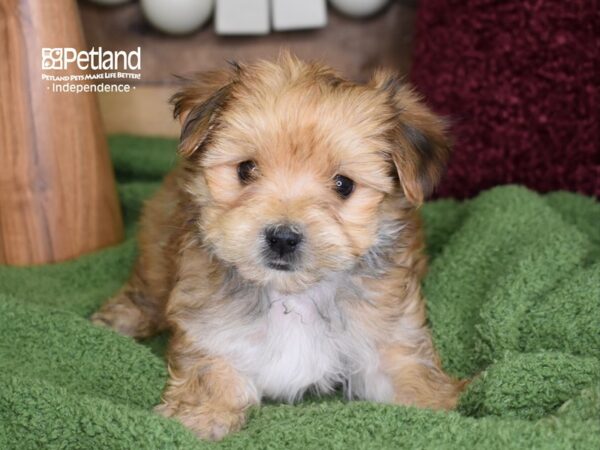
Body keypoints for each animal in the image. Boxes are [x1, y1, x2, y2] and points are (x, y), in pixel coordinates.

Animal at [92, 52, 464, 440]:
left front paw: (434, 408)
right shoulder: (212, 330)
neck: (292, 295)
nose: (283, 237)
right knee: (148, 285)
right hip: (158, 235)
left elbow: (408, 374)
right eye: (246, 169)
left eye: (344, 184)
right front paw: (201, 414)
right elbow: (212, 371)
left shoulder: (388, 334)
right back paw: (121, 318)